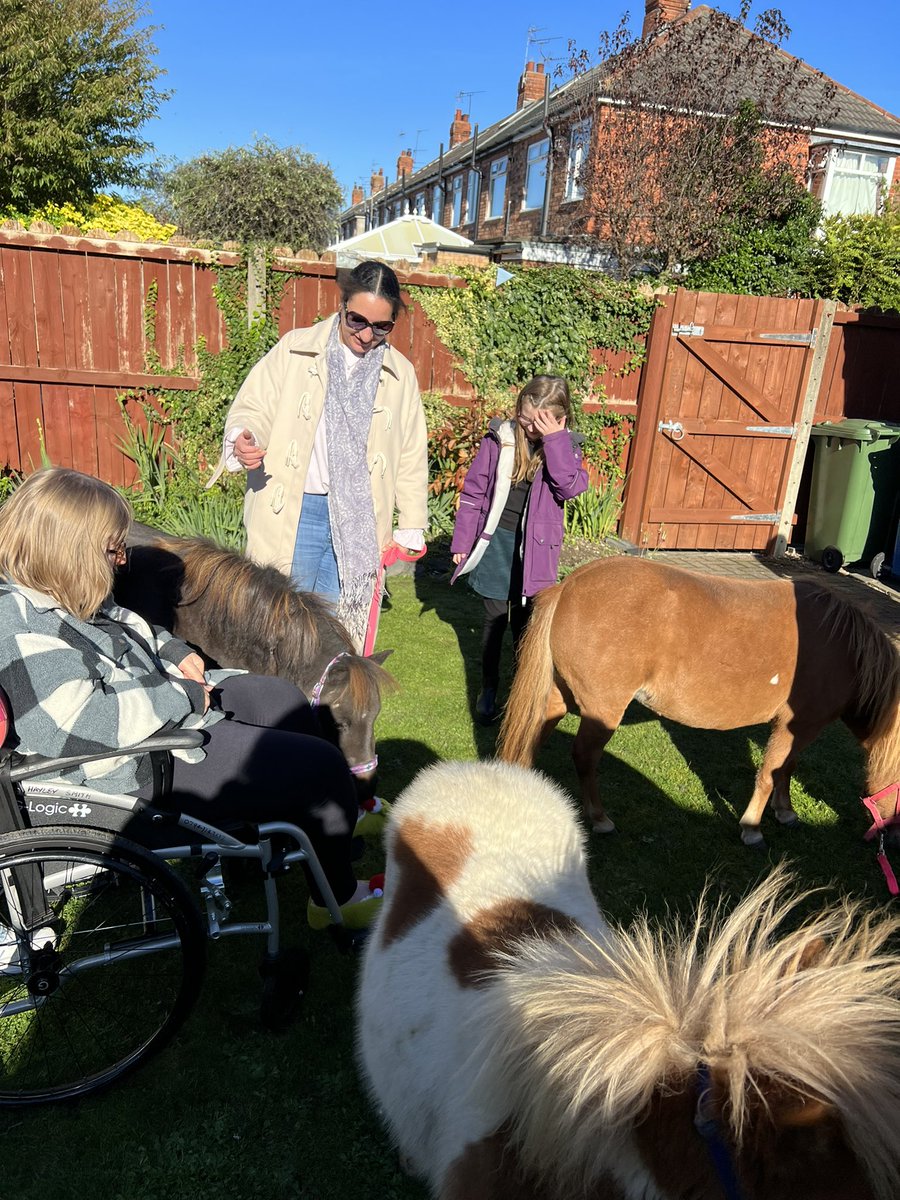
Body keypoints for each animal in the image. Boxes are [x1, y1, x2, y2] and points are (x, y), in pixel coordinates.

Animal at [496, 556, 900, 849]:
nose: (891, 840)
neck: (846, 650)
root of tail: (569, 585)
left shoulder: (801, 729)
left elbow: (786, 768)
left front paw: (784, 813)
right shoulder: (796, 725)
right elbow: (770, 773)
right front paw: (752, 828)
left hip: (560, 696)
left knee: (534, 734)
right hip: (602, 710)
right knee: (584, 757)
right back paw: (600, 820)